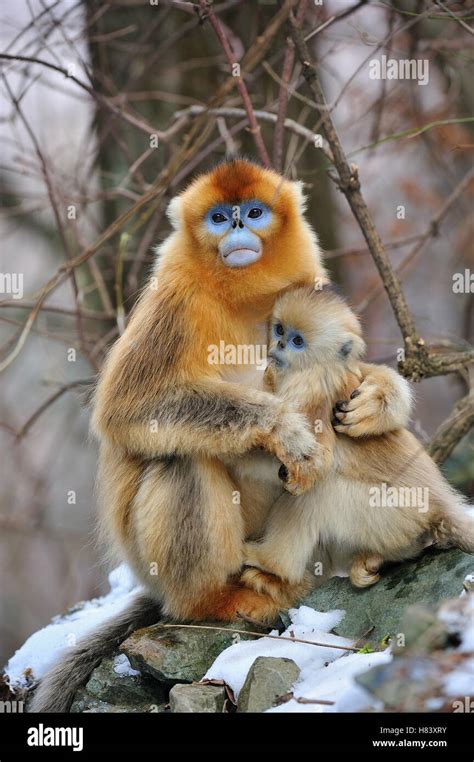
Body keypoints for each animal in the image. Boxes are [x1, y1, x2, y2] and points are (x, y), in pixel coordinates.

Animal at [243, 282, 472, 592]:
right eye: (279, 331)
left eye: (297, 341)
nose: (278, 345)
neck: (317, 366)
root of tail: (441, 506)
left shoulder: (310, 388)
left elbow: (316, 464)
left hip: (392, 516)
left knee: (319, 491)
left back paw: (272, 563)